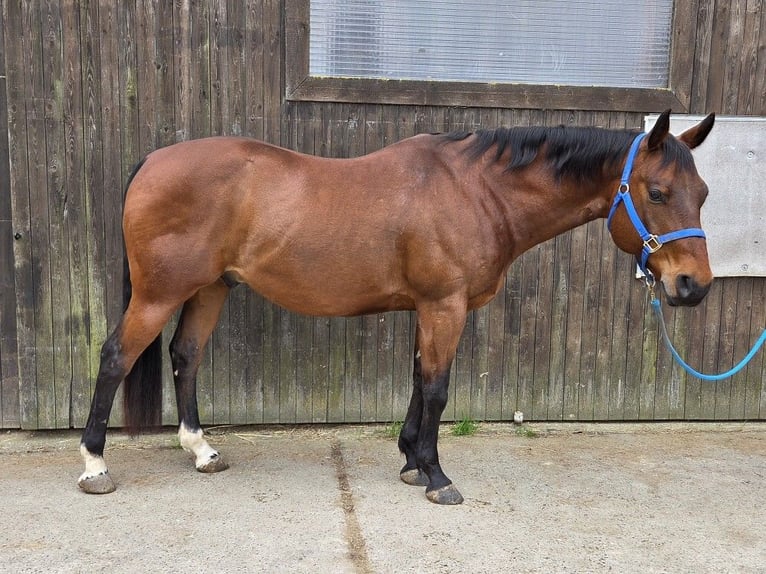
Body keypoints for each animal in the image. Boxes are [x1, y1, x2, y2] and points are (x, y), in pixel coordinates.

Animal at [78, 110, 715, 504]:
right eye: (657, 192)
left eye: (704, 193)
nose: (693, 285)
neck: (476, 190)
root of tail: (154, 160)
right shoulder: (444, 306)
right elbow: (436, 388)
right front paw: (435, 474)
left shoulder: (426, 309)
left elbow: (417, 379)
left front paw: (410, 460)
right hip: (159, 293)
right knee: (115, 357)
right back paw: (95, 466)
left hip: (211, 287)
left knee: (186, 355)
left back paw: (201, 450)